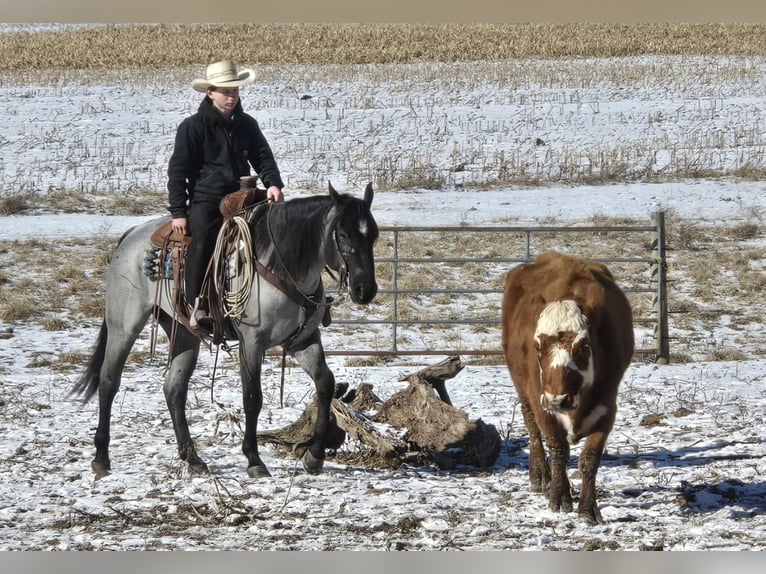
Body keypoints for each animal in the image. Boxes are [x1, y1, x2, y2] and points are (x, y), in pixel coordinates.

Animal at [73, 183, 380, 476]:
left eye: (373, 235)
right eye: (344, 235)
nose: (365, 290)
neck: (281, 263)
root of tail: (132, 234)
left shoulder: (302, 340)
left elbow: (325, 384)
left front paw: (314, 457)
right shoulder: (252, 342)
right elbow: (252, 398)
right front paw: (254, 460)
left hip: (182, 332)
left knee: (174, 389)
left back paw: (193, 459)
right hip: (124, 325)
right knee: (109, 381)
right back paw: (101, 458)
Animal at [500, 252, 632, 528]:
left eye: (583, 347)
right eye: (537, 347)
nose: (558, 400)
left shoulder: (607, 407)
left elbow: (590, 459)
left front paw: (588, 508)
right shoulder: (542, 402)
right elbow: (558, 449)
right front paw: (559, 497)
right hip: (522, 386)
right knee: (532, 427)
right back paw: (540, 474)